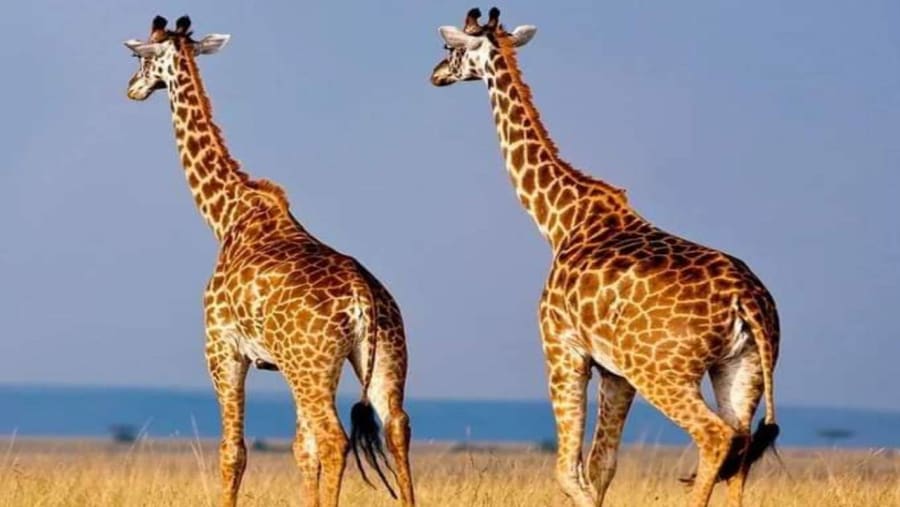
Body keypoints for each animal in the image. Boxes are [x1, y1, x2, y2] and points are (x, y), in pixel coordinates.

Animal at [123, 15, 415, 507]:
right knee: (395, 426)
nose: (132, 88)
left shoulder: (222, 346)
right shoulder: (278, 363)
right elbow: (301, 450)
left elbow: (234, 451)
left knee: (334, 438)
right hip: (377, 356)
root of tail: (363, 299)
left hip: (310, 364)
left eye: (143, 56)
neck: (228, 215)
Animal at [431, 8, 780, 507]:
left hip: (664, 372)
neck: (561, 218)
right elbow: (601, 467)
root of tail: (747, 301)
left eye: (451, 48)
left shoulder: (561, 345)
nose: (436, 74)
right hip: (741, 368)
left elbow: (568, 471)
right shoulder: (616, 372)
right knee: (742, 450)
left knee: (715, 437)